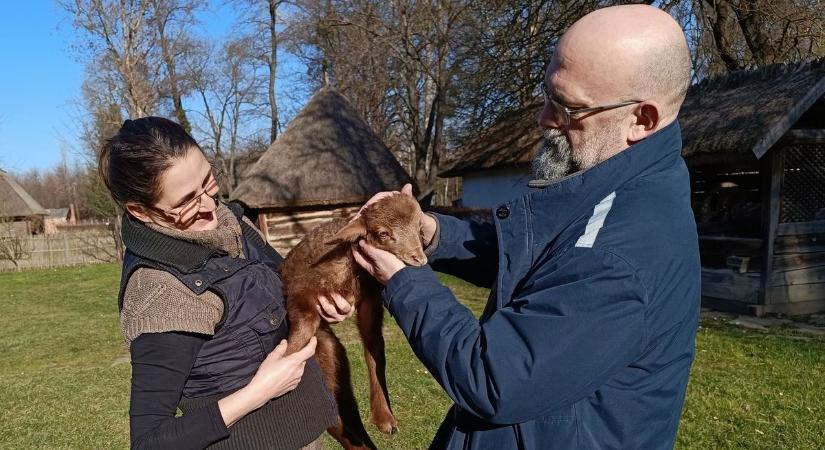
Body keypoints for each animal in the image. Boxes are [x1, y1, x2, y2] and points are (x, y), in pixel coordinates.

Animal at [282, 194, 428, 450]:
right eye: (383, 233)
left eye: (420, 229)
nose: (419, 260)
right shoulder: (301, 291)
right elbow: (299, 335)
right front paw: (280, 367)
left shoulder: (370, 301)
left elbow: (374, 350)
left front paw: (384, 417)